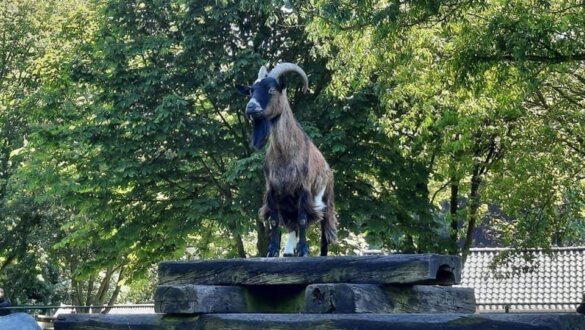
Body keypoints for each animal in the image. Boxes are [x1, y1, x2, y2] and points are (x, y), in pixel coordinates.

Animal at [237, 62, 338, 258]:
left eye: (271, 90)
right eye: (251, 91)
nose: (251, 108)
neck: (285, 154)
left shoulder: (303, 190)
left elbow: (303, 219)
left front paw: (304, 250)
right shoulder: (274, 190)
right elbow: (275, 222)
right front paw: (271, 251)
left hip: (326, 201)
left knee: (323, 229)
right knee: (292, 226)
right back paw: (289, 251)